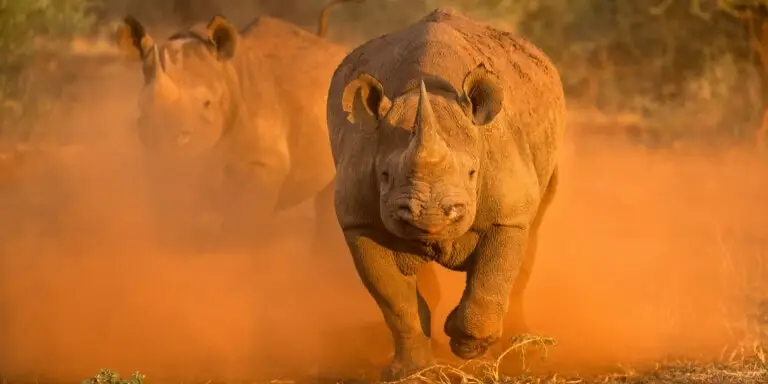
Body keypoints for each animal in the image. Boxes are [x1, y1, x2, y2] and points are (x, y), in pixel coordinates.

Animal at [115, 0, 362, 252]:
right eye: (142, 106)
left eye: (207, 103)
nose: (167, 141)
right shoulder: (156, 162)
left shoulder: (261, 163)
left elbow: (239, 230)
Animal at [324, 7, 564, 380]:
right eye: (385, 176)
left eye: (472, 174)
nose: (430, 215)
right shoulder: (359, 223)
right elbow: (397, 303)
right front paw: (411, 372)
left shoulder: (508, 215)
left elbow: (494, 276)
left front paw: (466, 344)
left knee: (533, 229)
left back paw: (522, 348)